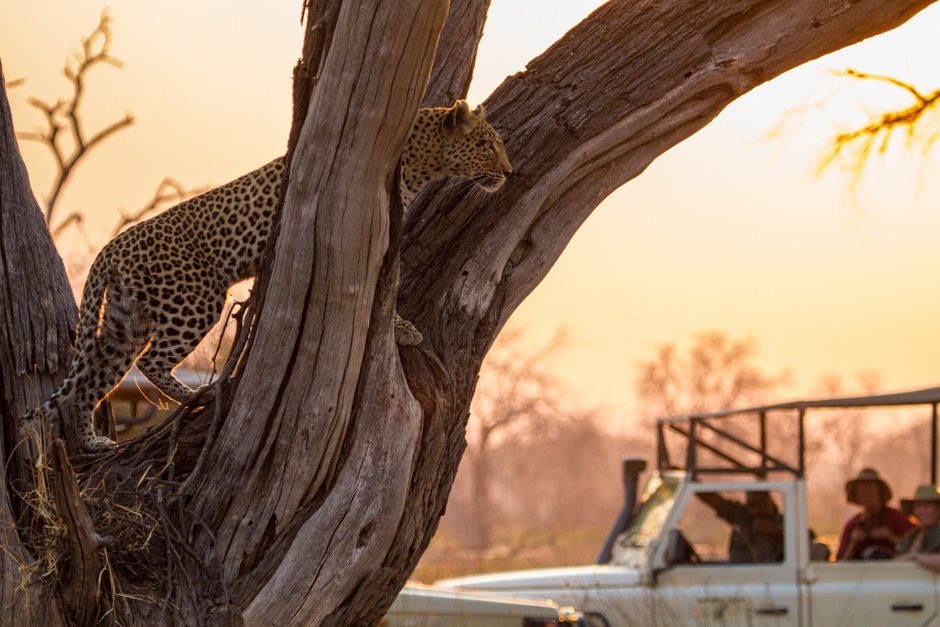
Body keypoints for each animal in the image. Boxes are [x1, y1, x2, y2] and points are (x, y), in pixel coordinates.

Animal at [23, 99, 506, 452]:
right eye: (486, 144)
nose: (509, 171)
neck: (423, 158)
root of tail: (112, 246)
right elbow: (384, 290)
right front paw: (404, 328)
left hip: (125, 321)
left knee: (93, 379)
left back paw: (93, 441)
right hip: (194, 301)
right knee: (150, 360)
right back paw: (199, 396)